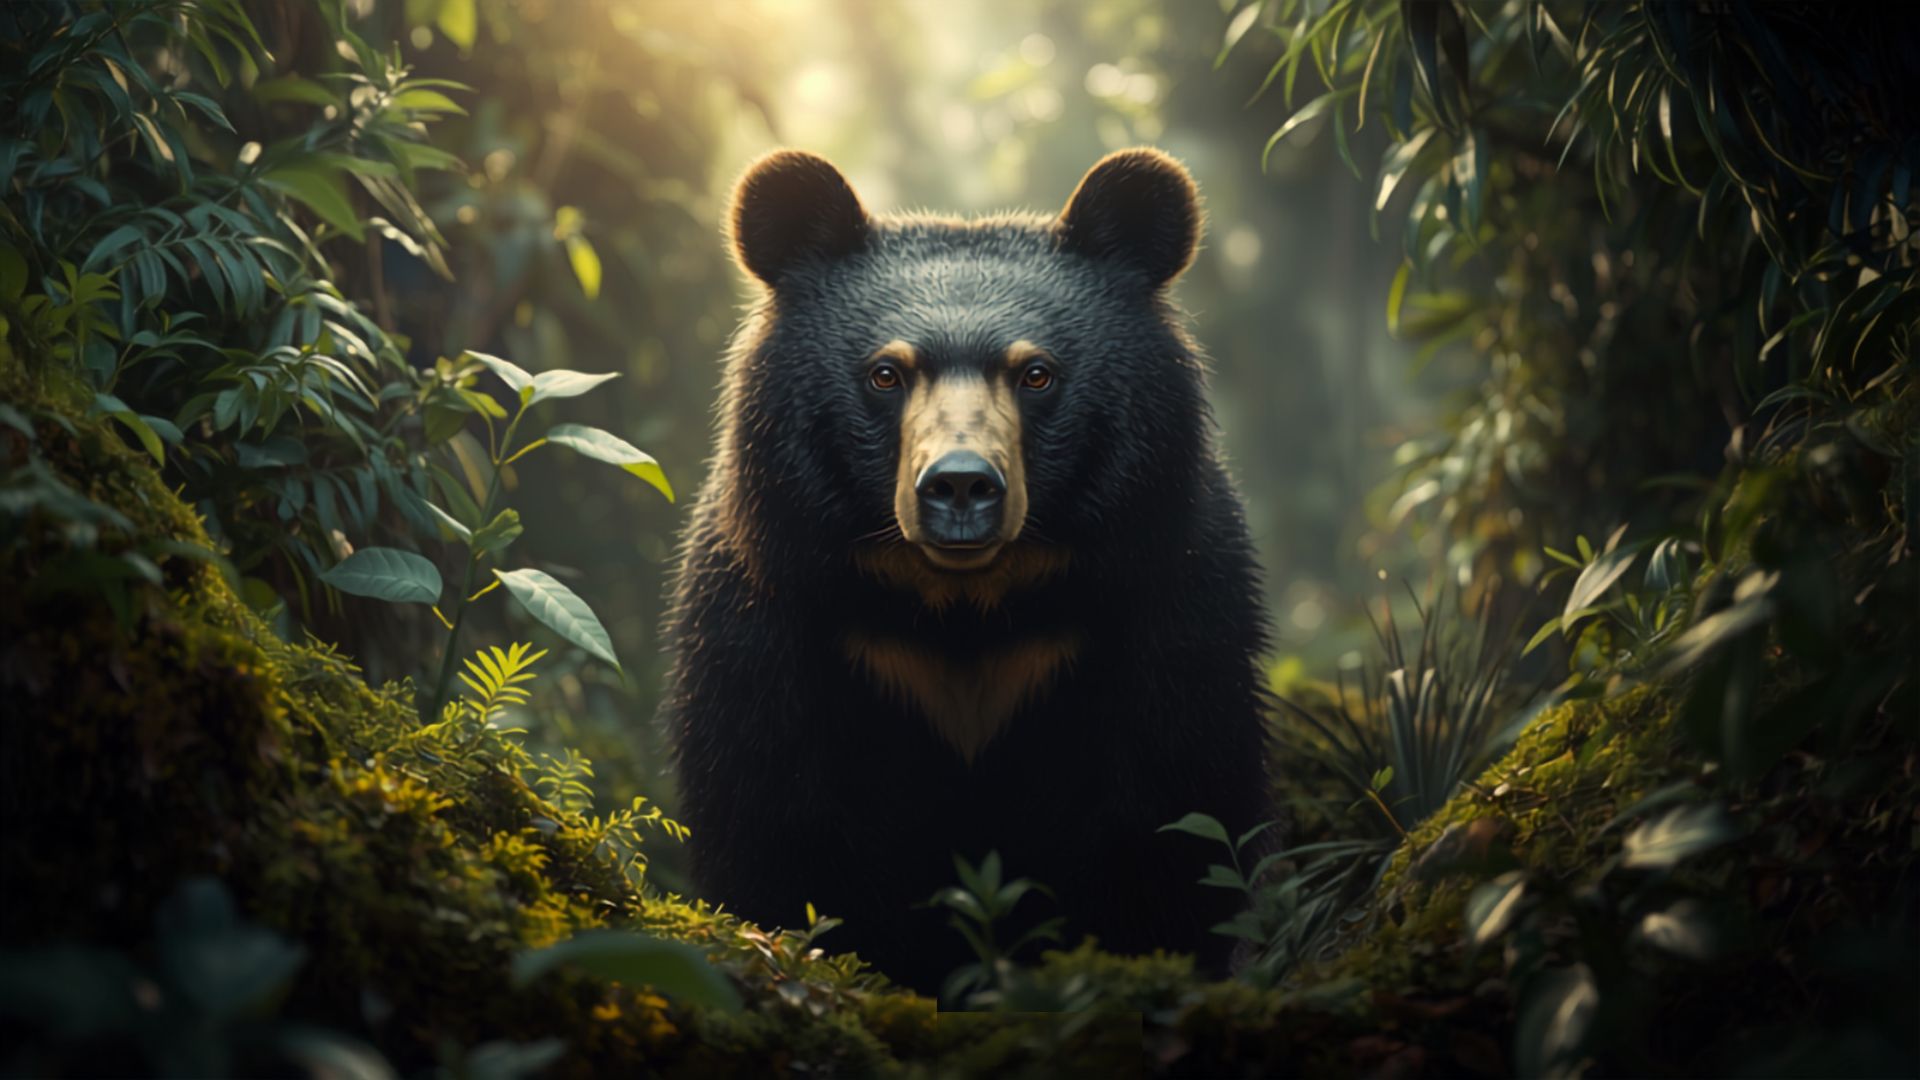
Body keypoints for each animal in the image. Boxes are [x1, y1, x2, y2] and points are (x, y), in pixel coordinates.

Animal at [661, 147, 1273, 993]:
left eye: (1036, 373)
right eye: (886, 373)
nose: (959, 486)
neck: (967, 602)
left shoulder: (1165, 592)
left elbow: (1172, 805)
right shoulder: (774, 605)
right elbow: (772, 812)